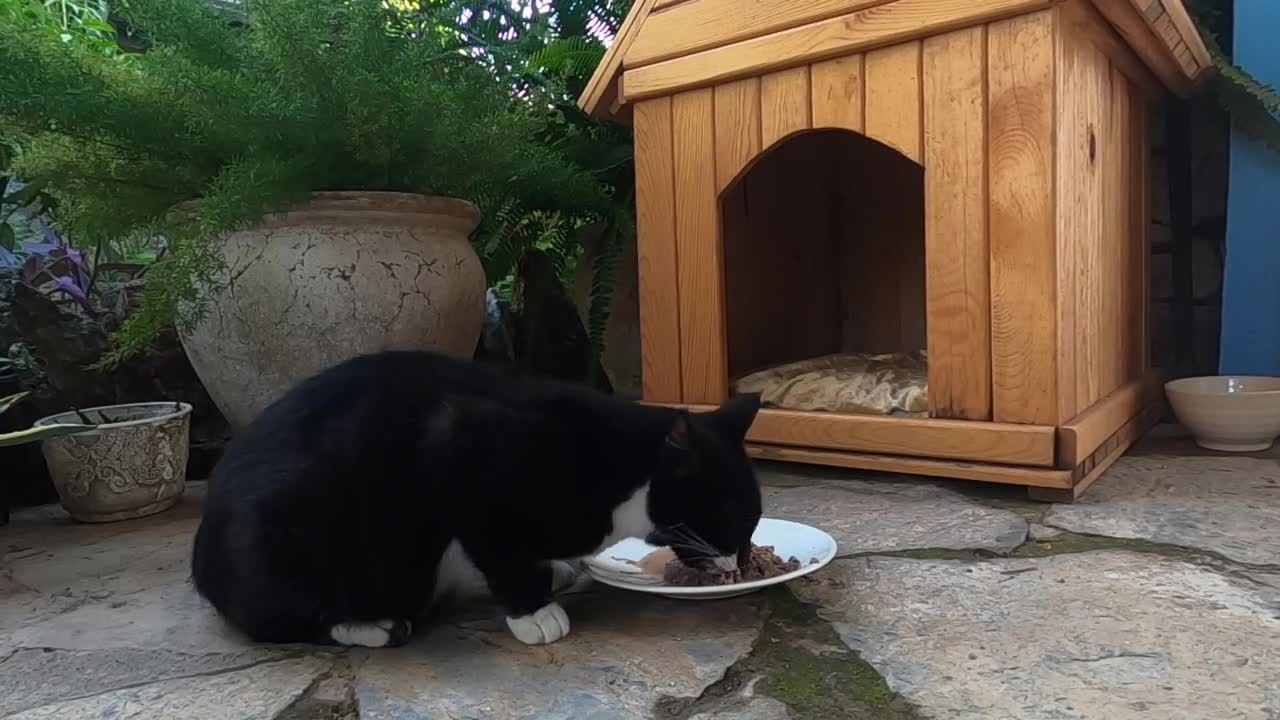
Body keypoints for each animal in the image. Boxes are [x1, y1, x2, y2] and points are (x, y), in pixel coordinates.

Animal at [192, 351, 757, 648]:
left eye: (754, 523)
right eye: (730, 516)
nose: (740, 563)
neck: (622, 473)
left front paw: (549, 572)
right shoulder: (460, 451)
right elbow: (497, 548)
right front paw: (533, 611)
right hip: (285, 541)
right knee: (286, 621)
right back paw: (373, 625)